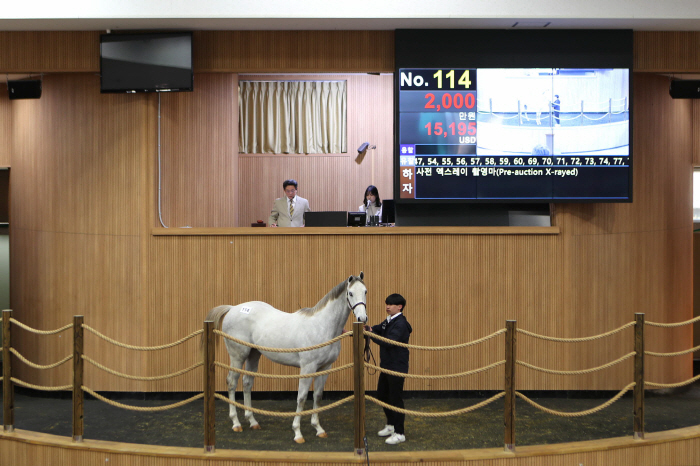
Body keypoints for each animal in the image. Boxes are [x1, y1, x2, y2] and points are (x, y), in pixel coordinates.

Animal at [205, 274, 370, 444]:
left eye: (365, 291)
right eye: (350, 293)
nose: (362, 318)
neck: (321, 326)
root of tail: (232, 308)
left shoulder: (325, 368)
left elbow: (317, 397)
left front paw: (318, 429)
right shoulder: (307, 368)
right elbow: (301, 398)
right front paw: (297, 433)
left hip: (253, 355)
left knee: (247, 383)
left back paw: (252, 421)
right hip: (238, 356)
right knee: (232, 382)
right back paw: (236, 423)